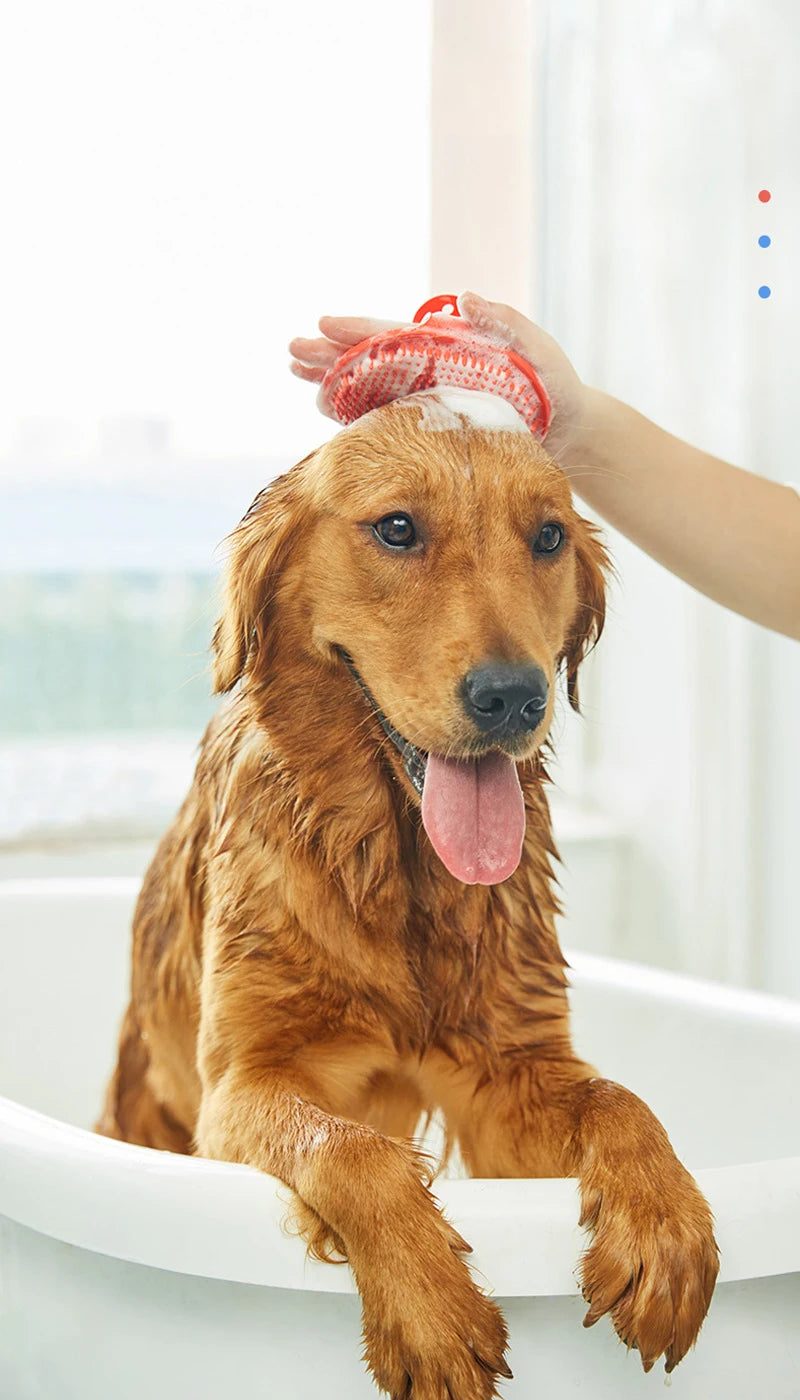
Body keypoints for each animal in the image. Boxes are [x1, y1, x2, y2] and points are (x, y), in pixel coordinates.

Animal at [98, 392, 717, 1400]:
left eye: (549, 536)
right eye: (396, 528)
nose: (514, 696)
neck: (398, 872)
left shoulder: (508, 1078)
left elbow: (617, 1099)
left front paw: (666, 1226)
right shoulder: (243, 1086)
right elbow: (351, 1148)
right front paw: (431, 1310)